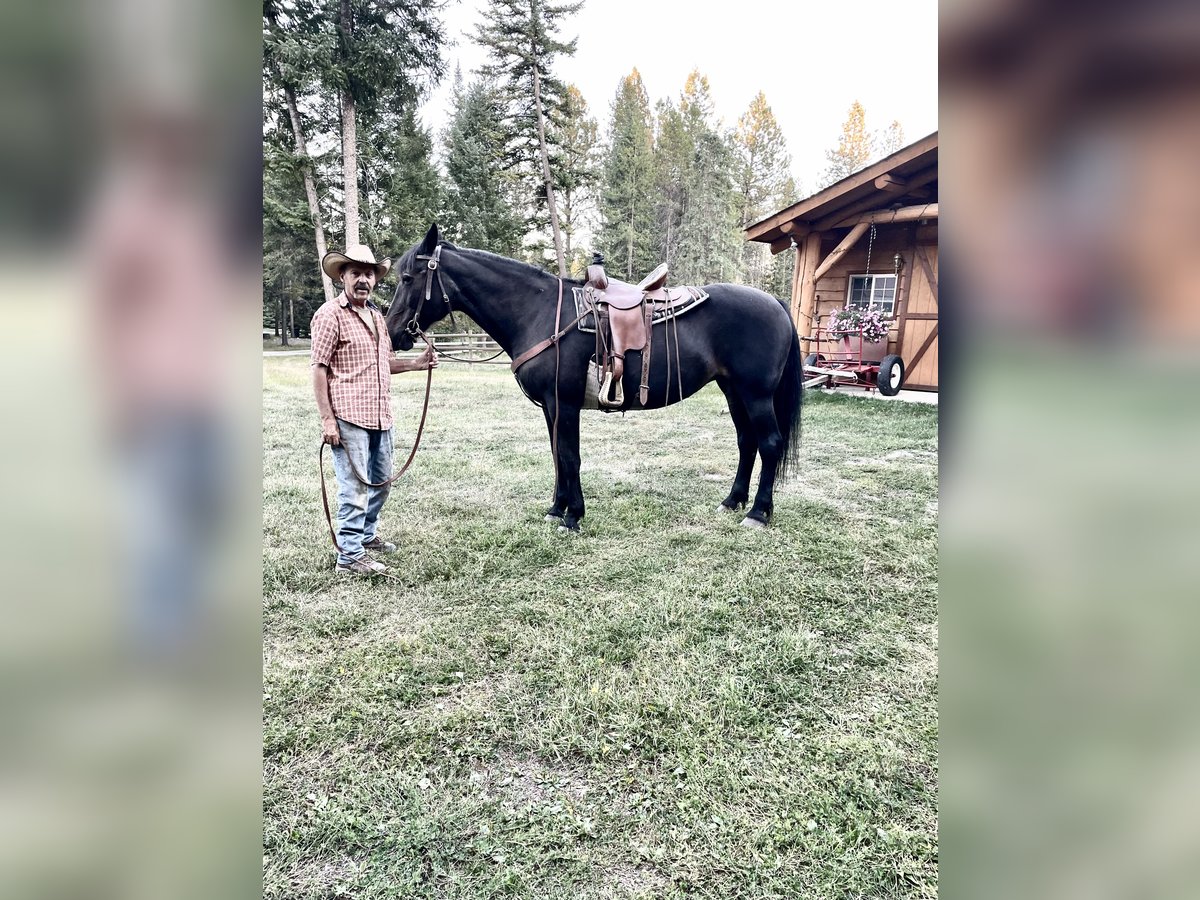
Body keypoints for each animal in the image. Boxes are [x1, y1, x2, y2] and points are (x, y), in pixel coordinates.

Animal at [388, 225, 801, 532]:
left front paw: (573, 516)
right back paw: (732, 501)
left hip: (756, 394)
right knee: (747, 442)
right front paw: (556, 508)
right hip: (733, 391)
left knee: (769, 443)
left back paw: (757, 512)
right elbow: (557, 454)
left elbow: (570, 456)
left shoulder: (565, 403)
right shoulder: (550, 407)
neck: (538, 312)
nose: (393, 333)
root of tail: (776, 303)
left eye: (408, 277)